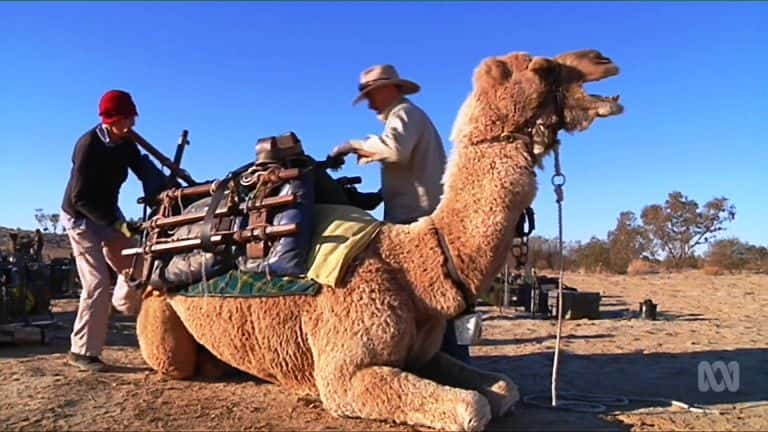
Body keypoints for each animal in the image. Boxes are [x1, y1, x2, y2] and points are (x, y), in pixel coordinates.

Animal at [135, 49, 620, 430]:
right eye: (542, 68)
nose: (603, 61)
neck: (415, 264)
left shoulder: (421, 355)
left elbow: (504, 388)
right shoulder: (345, 375)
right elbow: (474, 407)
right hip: (160, 317)